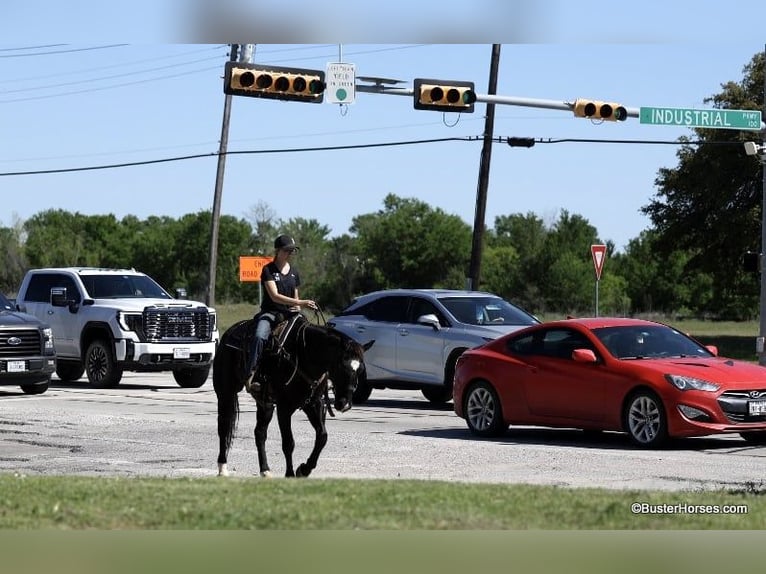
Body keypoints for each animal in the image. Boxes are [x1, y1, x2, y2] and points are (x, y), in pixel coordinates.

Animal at [214, 318, 374, 480]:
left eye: (360, 369)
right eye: (341, 365)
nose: (345, 404)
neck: (305, 356)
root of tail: (230, 331)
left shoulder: (314, 404)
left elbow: (322, 436)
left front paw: (304, 469)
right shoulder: (284, 408)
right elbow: (288, 443)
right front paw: (290, 474)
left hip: (265, 404)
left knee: (260, 433)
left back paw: (265, 470)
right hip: (225, 393)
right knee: (224, 427)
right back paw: (222, 468)